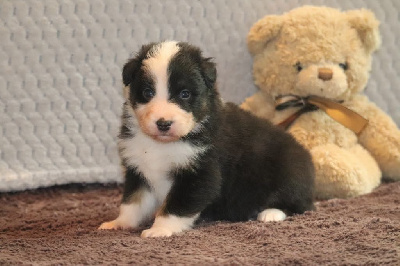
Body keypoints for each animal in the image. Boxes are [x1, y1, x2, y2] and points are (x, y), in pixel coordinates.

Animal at [98, 41, 314, 237]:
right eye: (147, 92)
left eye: (184, 94)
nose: (163, 123)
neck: (164, 144)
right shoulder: (139, 170)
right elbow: (133, 202)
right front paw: (119, 223)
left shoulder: (200, 173)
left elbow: (175, 206)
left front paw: (160, 230)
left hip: (288, 173)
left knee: (298, 204)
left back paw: (270, 213)